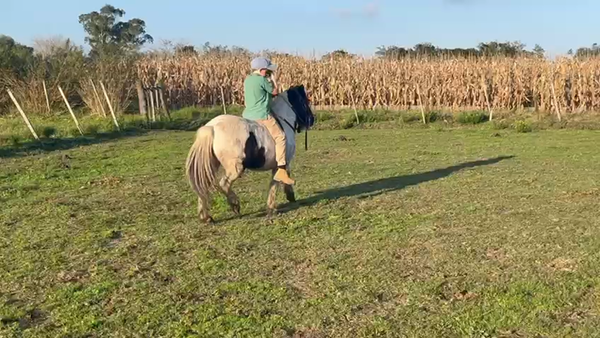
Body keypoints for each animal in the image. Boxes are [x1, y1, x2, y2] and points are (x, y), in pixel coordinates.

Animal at [184, 84, 314, 223]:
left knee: (203, 187)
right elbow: (277, 181)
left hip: (211, 165)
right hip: (236, 168)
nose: (312, 120)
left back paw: (206, 217)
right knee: (224, 184)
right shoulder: (283, 162)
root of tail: (212, 127)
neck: (283, 122)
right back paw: (235, 205)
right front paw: (279, 203)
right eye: (305, 101)